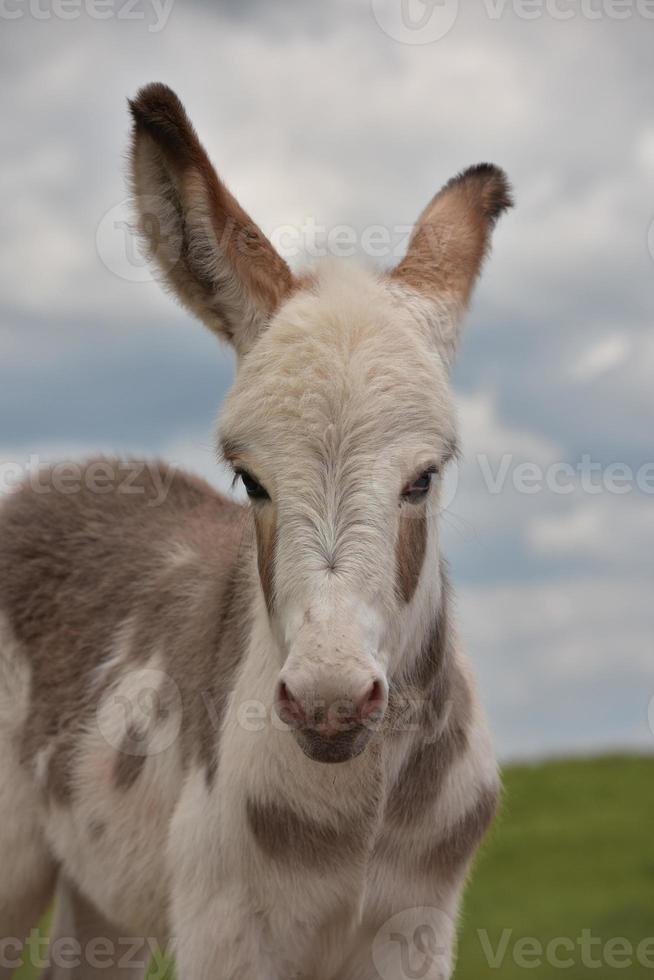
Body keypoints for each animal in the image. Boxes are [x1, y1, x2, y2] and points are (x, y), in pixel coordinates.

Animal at [0, 86, 512, 980]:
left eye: (425, 477)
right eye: (249, 479)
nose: (330, 706)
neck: (358, 818)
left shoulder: (416, 927)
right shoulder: (227, 926)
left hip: (100, 893)